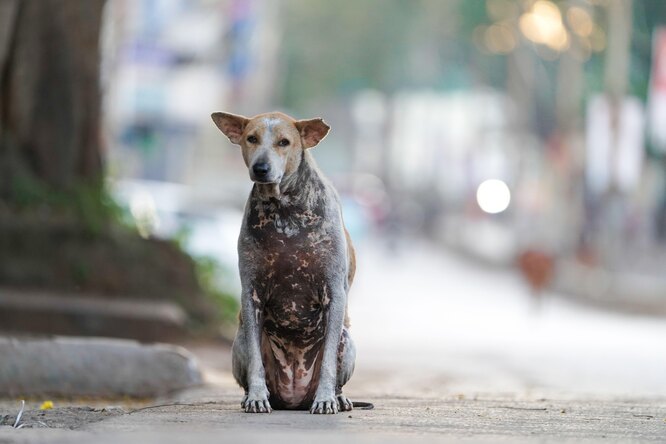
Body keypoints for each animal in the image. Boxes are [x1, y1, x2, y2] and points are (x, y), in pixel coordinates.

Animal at [211, 110, 368, 412]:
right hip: (239, 342)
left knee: (338, 365)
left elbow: (328, 361)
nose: (261, 167)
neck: (284, 209)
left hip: (348, 342)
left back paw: (338, 397)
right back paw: (252, 396)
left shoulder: (334, 292)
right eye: (252, 138)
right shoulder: (251, 293)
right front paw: (256, 396)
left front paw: (326, 399)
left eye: (284, 142)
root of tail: (294, 398)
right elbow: (256, 362)